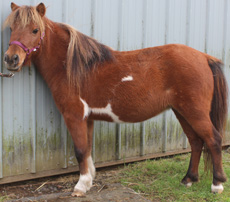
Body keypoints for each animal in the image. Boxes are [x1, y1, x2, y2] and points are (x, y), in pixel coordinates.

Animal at [3, 2, 228, 196]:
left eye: (35, 30)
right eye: (12, 28)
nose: (11, 59)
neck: (74, 67)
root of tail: (204, 57)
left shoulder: (74, 116)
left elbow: (80, 150)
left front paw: (80, 186)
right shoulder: (88, 118)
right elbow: (88, 150)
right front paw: (89, 180)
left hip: (194, 111)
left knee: (213, 139)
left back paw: (217, 184)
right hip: (181, 111)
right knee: (196, 142)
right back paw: (188, 179)